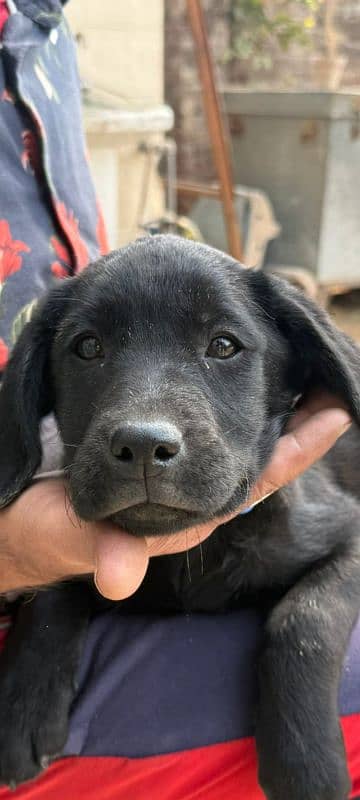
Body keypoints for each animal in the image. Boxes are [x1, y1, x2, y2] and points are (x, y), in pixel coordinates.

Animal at [0, 233, 360, 800]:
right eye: (87, 347)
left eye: (224, 346)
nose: (144, 446)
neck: (192, 556)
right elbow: (52, 590)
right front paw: (24, 707)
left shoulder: (346, 534)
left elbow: (304, 619)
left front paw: (306, 763)